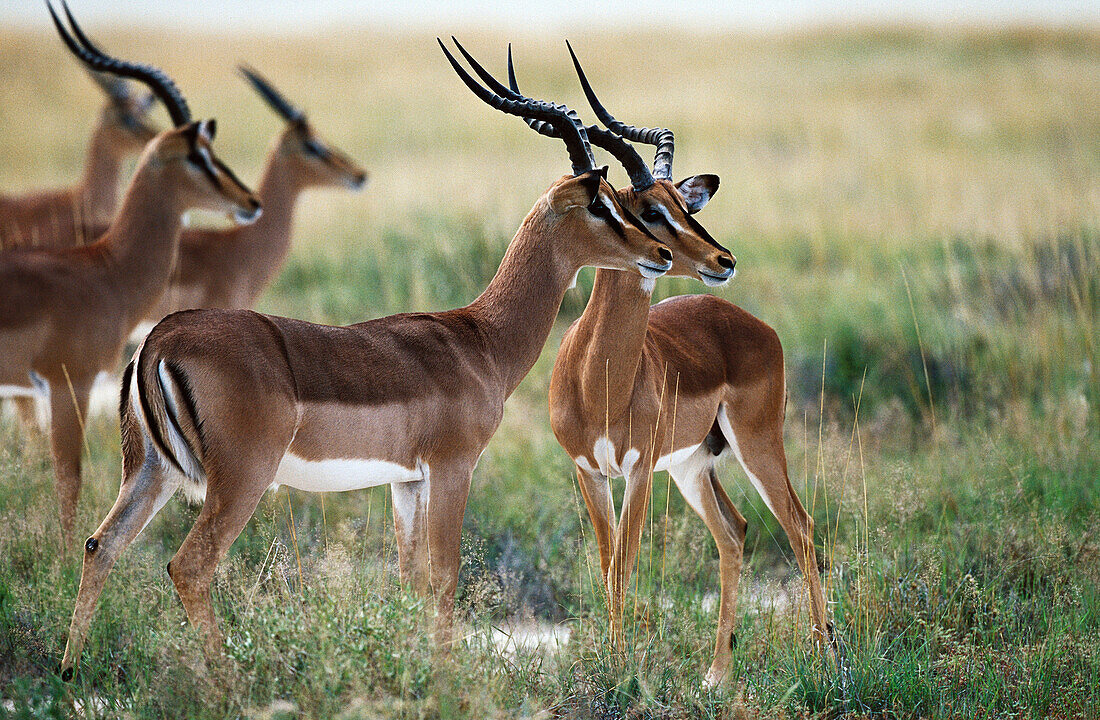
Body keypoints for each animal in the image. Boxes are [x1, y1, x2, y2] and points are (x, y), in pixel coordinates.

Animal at [60, 39, 673, 681]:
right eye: (602, 204)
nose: (658, 252)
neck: (479, 340)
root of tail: (161, 340)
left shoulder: (405, 481)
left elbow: (411, 582)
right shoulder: (454, 468)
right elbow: (446, 576)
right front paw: (444, 682)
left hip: (150, 470)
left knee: (101, 544)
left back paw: (70, 671)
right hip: (240, 479)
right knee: (189, 566)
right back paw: (225, 681)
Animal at [541, 45, 831, 685]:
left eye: (682, 204)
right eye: (649, 210)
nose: (721, 258)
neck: (598, 380)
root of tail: (748, 321)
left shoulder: (639, 470)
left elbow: (624, 564)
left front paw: (620, 669)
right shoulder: (589, 471)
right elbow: (607, 563)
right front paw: (614, 664)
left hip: (755, 442)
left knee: (799, 526)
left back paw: (824, 655)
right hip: (695, 465)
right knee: (735, 532)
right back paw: (717, 674)